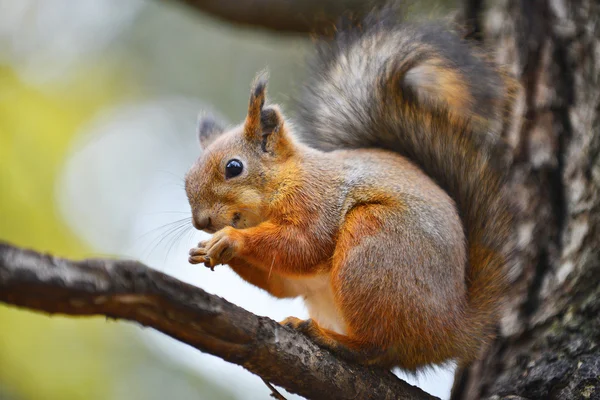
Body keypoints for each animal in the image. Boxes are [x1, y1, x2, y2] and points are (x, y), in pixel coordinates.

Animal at [184, 7, 516, 370]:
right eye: (186, 178)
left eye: (234, 167)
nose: (201, 222)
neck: (284, 180)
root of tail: (449, 330)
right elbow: (283, 283)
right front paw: (206, 249)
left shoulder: (316, 200)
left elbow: (303, 244)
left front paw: (232, 239)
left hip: (374, 249)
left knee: (379, 348)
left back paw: (332, 339)